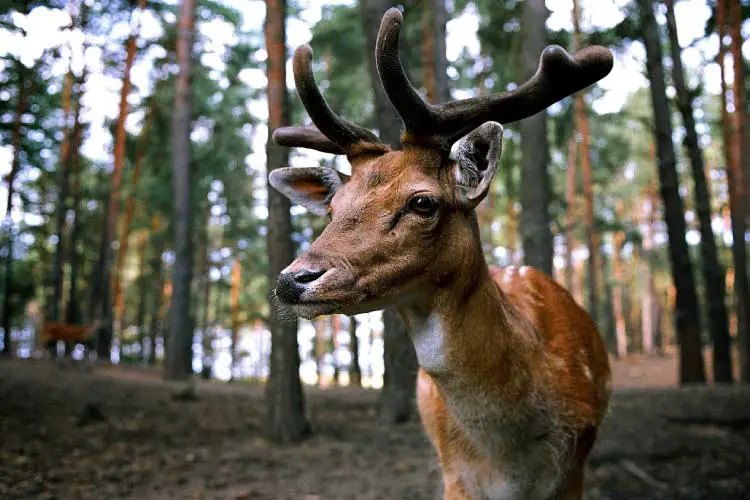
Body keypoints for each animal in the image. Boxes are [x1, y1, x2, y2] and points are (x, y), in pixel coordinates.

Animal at [268, 7, 612, 500]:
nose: (292, 279)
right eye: (333, 208)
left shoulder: (574, 469)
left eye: (422, 202)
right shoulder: (455, 477)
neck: (508, 460)